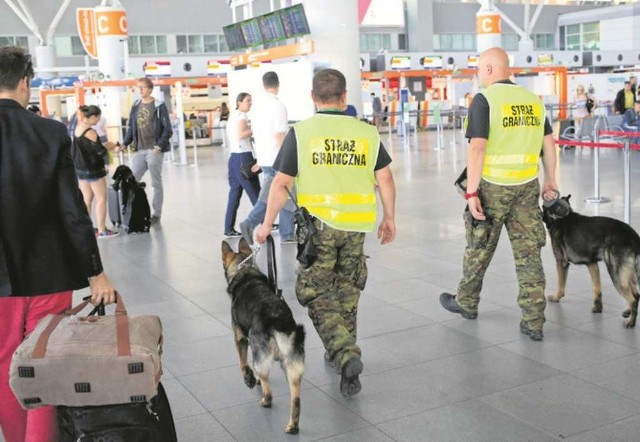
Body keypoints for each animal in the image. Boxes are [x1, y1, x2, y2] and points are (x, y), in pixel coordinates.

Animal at [221, 240, 306, 434]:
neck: (244, 270)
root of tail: (278, 321)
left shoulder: (240, 338)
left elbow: (243, 364)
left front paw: (249, 378)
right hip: (292, 365)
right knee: (296, 399)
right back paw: (293, 426)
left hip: (259, 351)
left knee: (268, 389)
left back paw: (266, 400)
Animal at [544, 195, 640, 326]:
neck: (562, 217)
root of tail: (634, 237)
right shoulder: (592, 264)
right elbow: (596, 288)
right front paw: (598, 308)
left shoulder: (561, 263)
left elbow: (560, 285)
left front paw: (556, 297)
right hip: (628, 273)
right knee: (636, 295)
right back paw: (627, 312)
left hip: (616, 274)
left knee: (633, 299)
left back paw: (631, 323)